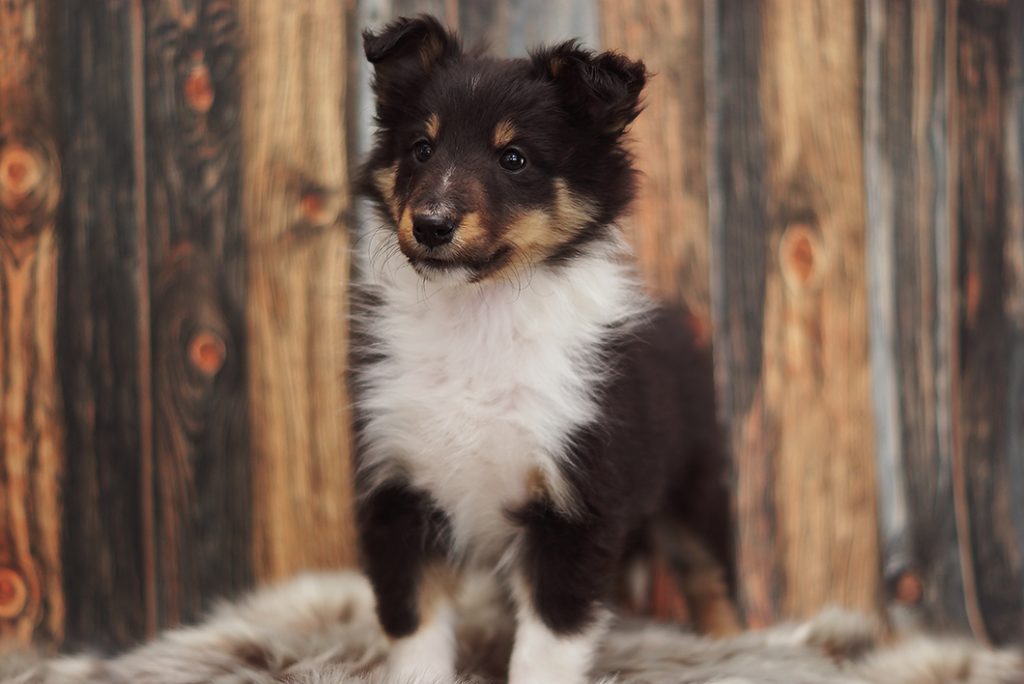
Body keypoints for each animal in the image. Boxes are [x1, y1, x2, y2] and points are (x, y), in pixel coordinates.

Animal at [352, 15, 737, 684]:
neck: (478, 314)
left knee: (710, 572)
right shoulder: (399, 489)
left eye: (515, 159)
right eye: (422, 148)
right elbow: (416, 626)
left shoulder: (576, 502)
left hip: (694, 483)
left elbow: (550, 642)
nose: (430, 224)